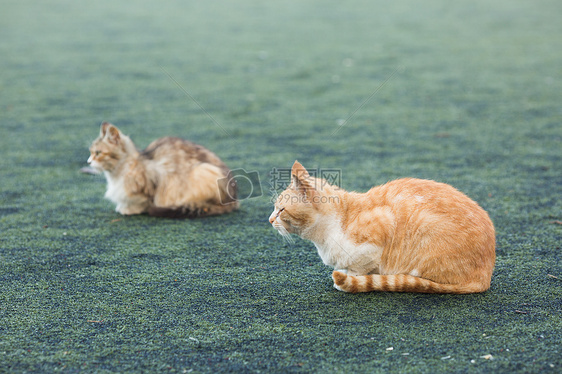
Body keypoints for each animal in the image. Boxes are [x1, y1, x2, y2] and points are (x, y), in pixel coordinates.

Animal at [88, 121, 237, 218]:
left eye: (98, 153)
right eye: (90, 152)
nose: (88, 162)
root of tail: (234, 200)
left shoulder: (150, 185)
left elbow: (142, 202)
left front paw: (129, 209)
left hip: (203, 171)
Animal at [270, 161, 492, 292]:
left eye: (281, 210)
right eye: (275, 208)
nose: (270, 220)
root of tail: (485, 277)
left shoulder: (381, 227)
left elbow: (357, 269)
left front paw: (349, 278)